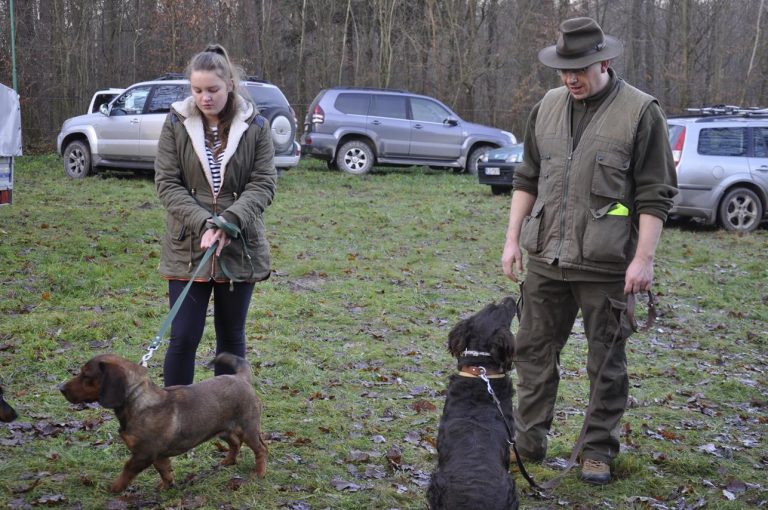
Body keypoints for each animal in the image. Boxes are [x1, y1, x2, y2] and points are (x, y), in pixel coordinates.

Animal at [59, 352, 268, 492]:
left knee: (261, 449)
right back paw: (228, 461)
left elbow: (126, 471)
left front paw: (114, 488)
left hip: (248, 429)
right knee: (235, 443)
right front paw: (166, 485)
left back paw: (259, 473)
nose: (60, 388)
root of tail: (241, 377)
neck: (138, 401)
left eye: (86, 376)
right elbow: (164, 470)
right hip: (223, 429)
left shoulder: (143, 454)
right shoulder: (157, 455)